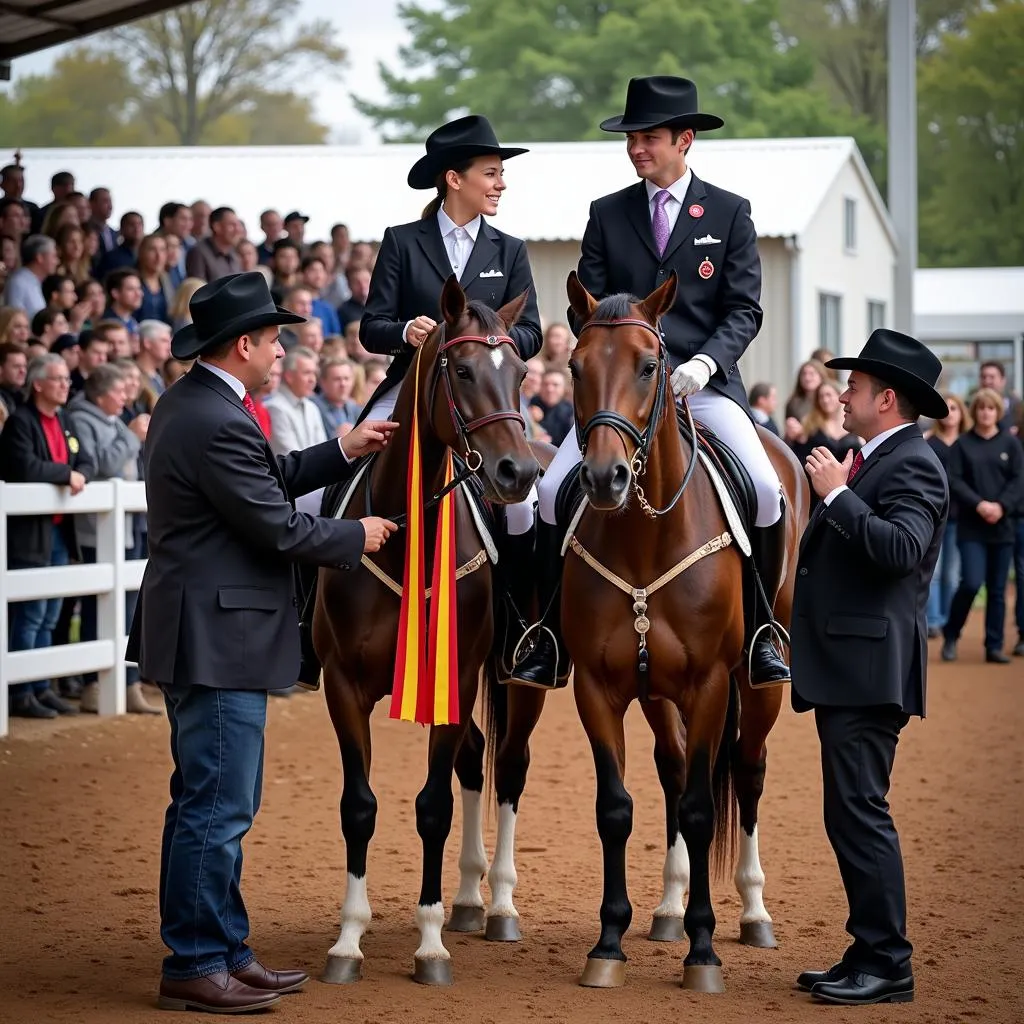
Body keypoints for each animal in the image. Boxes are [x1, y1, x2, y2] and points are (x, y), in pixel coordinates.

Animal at [311, 272, 540, 983]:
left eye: (521, 371)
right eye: (461, 370)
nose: (517, 473)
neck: (404, 535)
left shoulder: (455, 676)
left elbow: (433, 807)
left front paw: (430, 943)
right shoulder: (343, 685)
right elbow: (359, 807)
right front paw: (348, 940)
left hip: (516, 682)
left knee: (508, 767)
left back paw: (499, 907)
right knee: (475, 762)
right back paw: (467, 900)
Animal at [479, 268, 806, 987]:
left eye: (651, 365)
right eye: (573, 368)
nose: (605, 478)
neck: (644, 537)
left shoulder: (711, 685)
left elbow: (703, 808)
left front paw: (704, 951)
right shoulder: (599, 689)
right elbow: (618, 807)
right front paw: (609, 942)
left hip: (756, 684)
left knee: (747, 770)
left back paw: (753, 914)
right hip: (657, 692)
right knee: (676, 768)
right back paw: (667, 909)